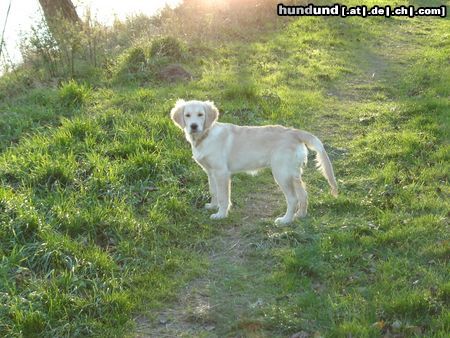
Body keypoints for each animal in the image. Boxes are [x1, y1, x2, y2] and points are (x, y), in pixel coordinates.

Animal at [170, 99, 338, 223]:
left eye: (200, 114)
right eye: (187, 115)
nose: (193, 126)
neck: (205, 135)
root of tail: (294, 132)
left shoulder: (221, 173)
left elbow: (224, 196)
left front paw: (221, 214)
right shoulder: (210, 172)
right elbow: (214, 191)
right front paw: (212, 206)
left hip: (281, 174)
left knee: (293, 198)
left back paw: (285, 220)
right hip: (293, 173)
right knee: (303, 194)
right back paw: (300, 215)